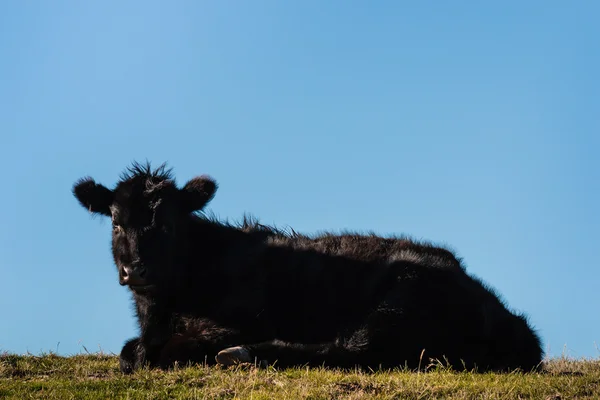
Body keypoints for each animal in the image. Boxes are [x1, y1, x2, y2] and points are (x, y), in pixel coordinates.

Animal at [71, 161, 544, 374]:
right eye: (116, 221)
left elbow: (159, 351)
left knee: (353, 351)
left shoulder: (237, 321)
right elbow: (131, 351)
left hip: (398, 301)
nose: (135, 271)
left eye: (167, 223)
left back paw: (244, 354)